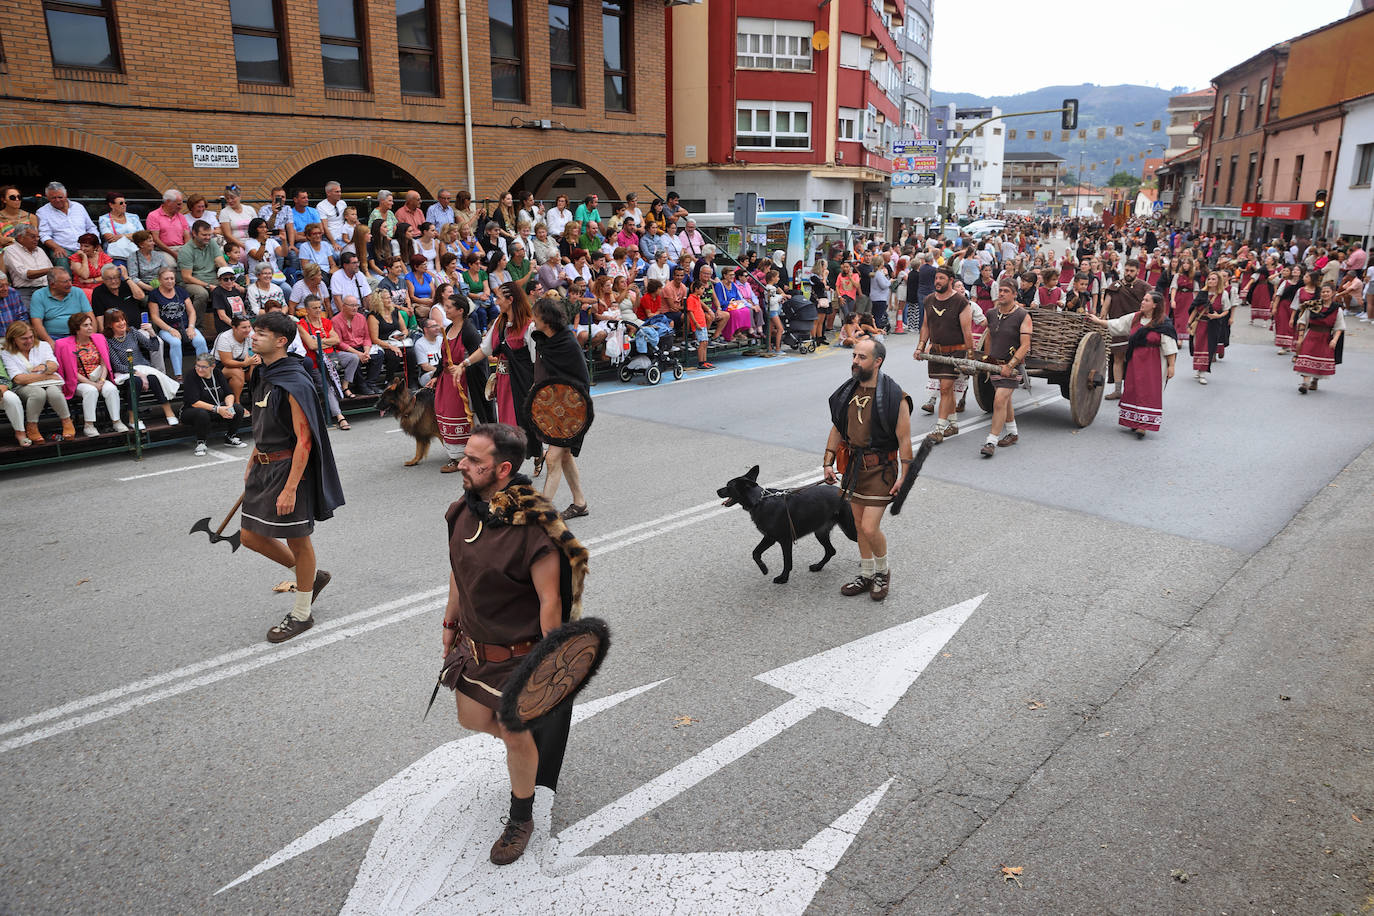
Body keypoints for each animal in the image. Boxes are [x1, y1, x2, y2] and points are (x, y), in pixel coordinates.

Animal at [719, 469, 857, 585]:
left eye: (729, 486)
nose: (717, 491)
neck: (759, 500)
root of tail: (846, 493)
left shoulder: (785, 541)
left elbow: (787, 562)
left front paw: (783, 578)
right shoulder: (769, 538)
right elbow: (755, 553)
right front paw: (764, 568)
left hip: (849, 530)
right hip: (820, 532)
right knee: (831, 551)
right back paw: (818, 566)